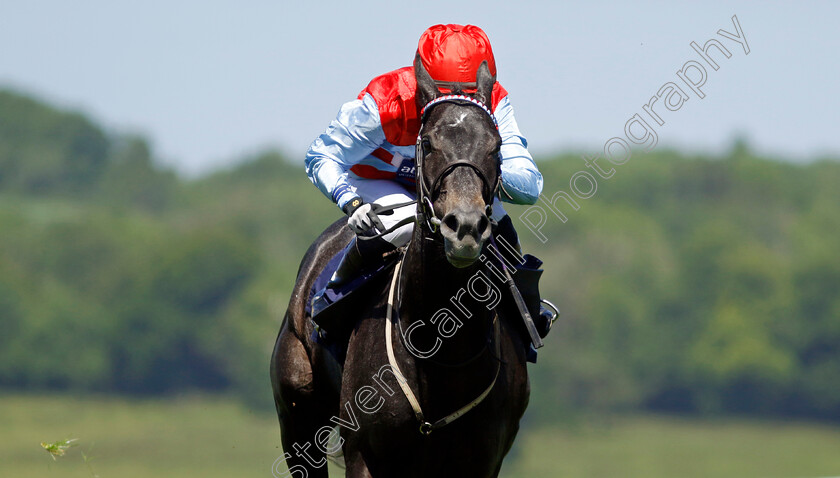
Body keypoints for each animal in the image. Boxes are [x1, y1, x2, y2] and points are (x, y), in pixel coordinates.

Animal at [272, 54, 528, 476]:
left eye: (496, 146)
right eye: (428, 142)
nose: (466, 227)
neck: (440, 350)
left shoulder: (483, 460)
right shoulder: (364, 454)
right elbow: (323, 152)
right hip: (298, 416)